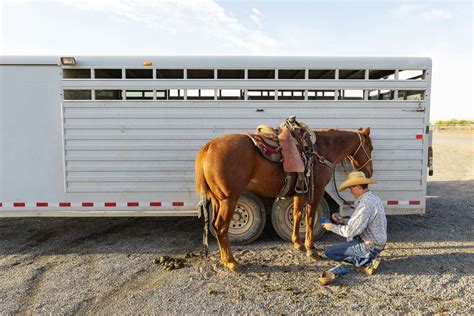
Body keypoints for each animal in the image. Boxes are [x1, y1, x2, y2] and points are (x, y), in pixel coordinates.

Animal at [195, 127, 374, 270]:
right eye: (370, 147)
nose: (369, 172)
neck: (322, 149)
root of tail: (208, 147)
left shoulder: (299, 192)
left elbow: (297, 215)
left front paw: (298, 244)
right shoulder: (316, 190)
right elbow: (310, 218)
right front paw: (311, 249)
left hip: (218, 200)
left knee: (216, 226)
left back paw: (225, 259)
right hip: (229, 199)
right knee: (221, 227)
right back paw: (231, 262)